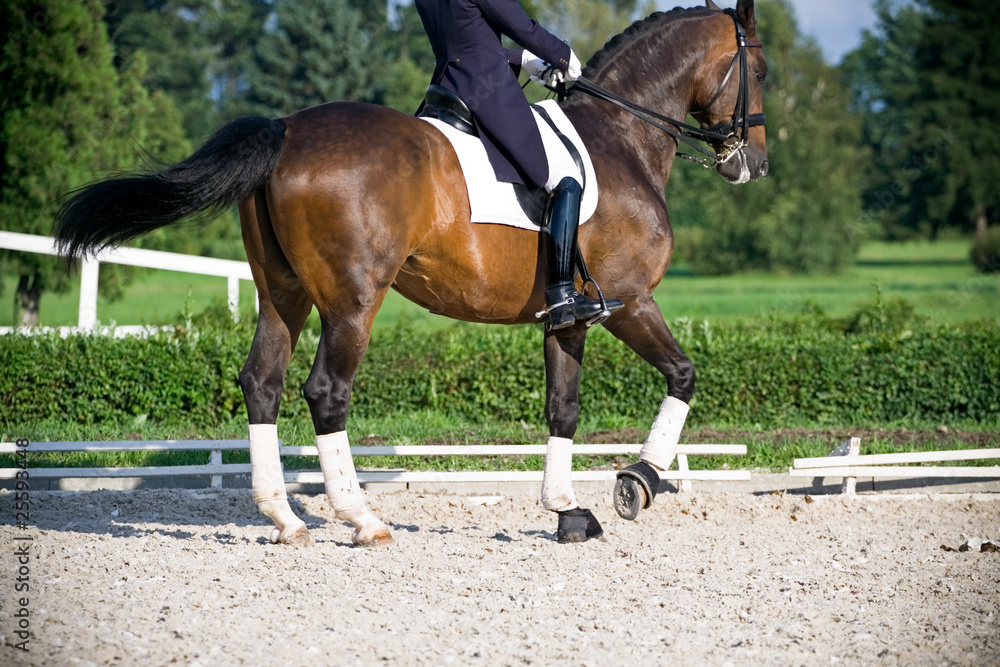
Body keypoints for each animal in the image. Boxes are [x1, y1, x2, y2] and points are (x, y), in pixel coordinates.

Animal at [54, 0, 768, 546]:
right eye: (758, 69)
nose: (752, 165)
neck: (622, 134)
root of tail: (285, 129)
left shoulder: (569, 317)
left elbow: (562, 407)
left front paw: (567, 512)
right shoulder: (628, 300)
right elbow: (683, 375)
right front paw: (636, 484)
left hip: (283, 292)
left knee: (262, 382)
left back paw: (287, 521)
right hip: (353, 301)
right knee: (326, 392)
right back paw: (363, 520)